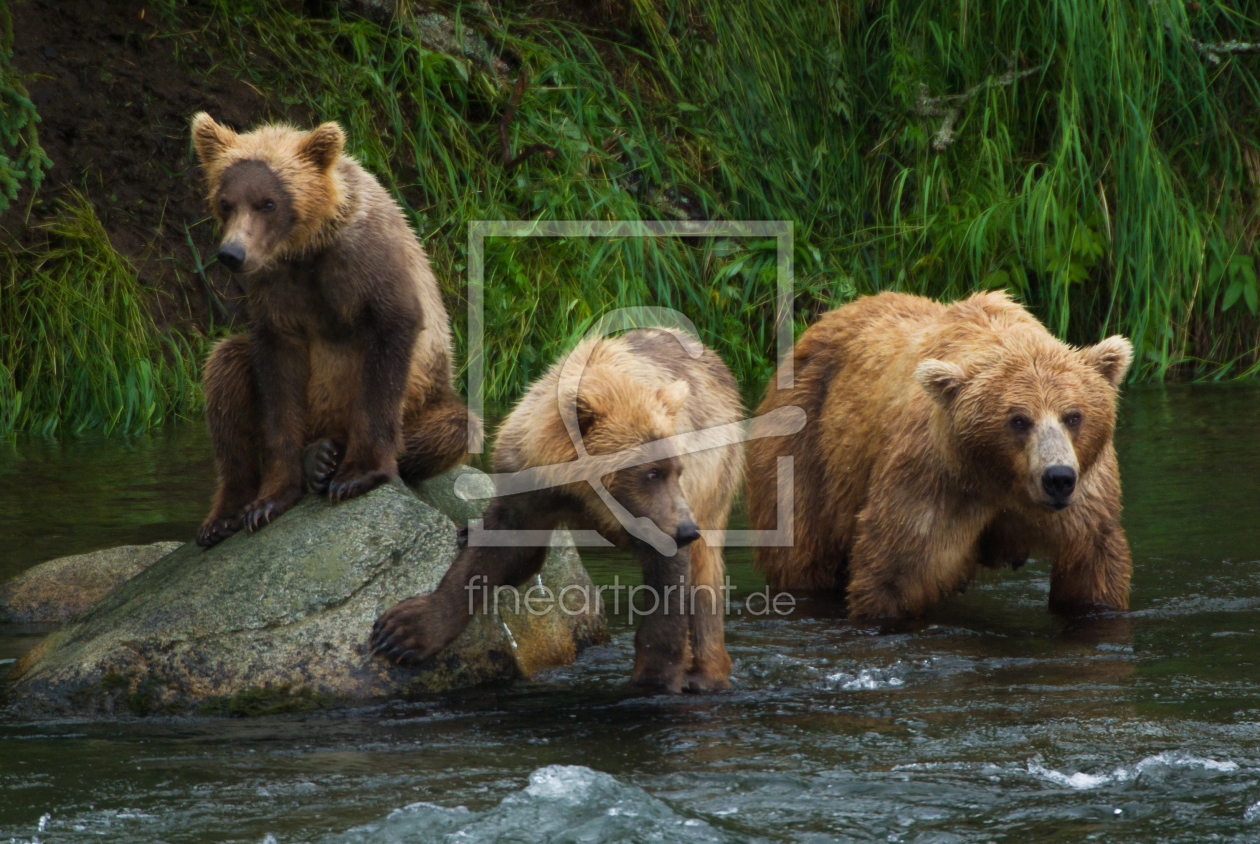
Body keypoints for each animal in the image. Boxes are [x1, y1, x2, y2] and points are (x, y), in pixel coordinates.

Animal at [189, 114, 478, 549]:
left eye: (268, 202)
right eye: (225, 202)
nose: (232, 254)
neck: (306, 247)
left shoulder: (366, 260)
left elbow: (389, 341)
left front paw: (357, 474)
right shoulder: (276, 293)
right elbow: (276, 382)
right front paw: (269, 500)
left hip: (428, 398)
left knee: (456, 427)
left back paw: (331, 453)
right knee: (225, 371)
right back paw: (229, 512)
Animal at [372, 330, 745, 695]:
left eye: (673, 470)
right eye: (651, 473)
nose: (685, 530)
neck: (582, 493)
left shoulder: (663, 511)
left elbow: (668, 592)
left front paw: (652, 680)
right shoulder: (528, 483)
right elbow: (491, 550)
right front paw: (403, 630)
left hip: (713, 480)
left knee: (705, 576)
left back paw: (706, 675)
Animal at [740, 292, 1139, 622]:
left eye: (1074, 416)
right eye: (1018, 420)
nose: (1057, 478)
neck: (1000, 481)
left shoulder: (1085, 496)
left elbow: (1092, 570)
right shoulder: (933, 483)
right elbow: (894, 574)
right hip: (804, 448)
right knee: (802, 552)